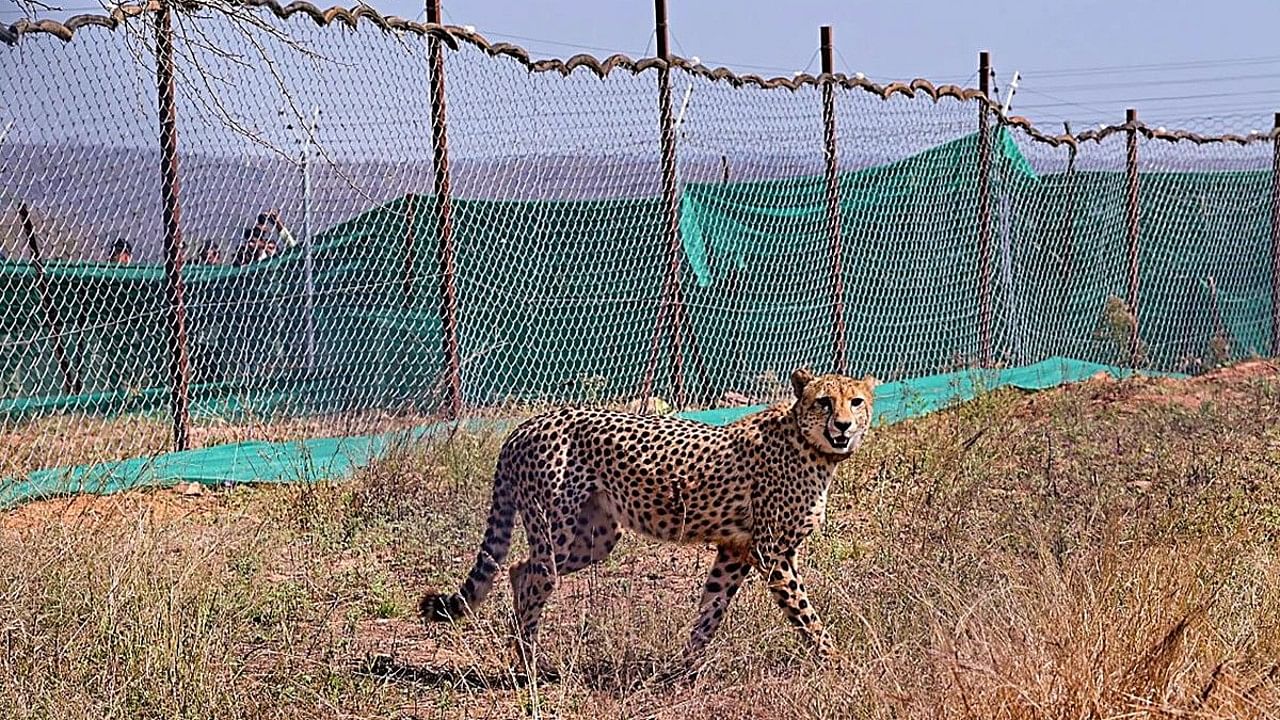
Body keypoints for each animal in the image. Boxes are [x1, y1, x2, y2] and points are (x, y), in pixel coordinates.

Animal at [419, 366, 880, 671]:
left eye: (856, 401)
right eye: (824, 402)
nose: (843, 425)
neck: (811, 445)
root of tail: (525, 425)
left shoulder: (735, 550)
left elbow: (710, 610)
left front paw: (684, 668)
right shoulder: (771, 553)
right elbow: (805, 613)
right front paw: (838, 661)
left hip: (594, 539)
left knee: (518, 569)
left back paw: (526, 656)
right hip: (558, 530)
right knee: (534, 577)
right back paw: (530, 668)